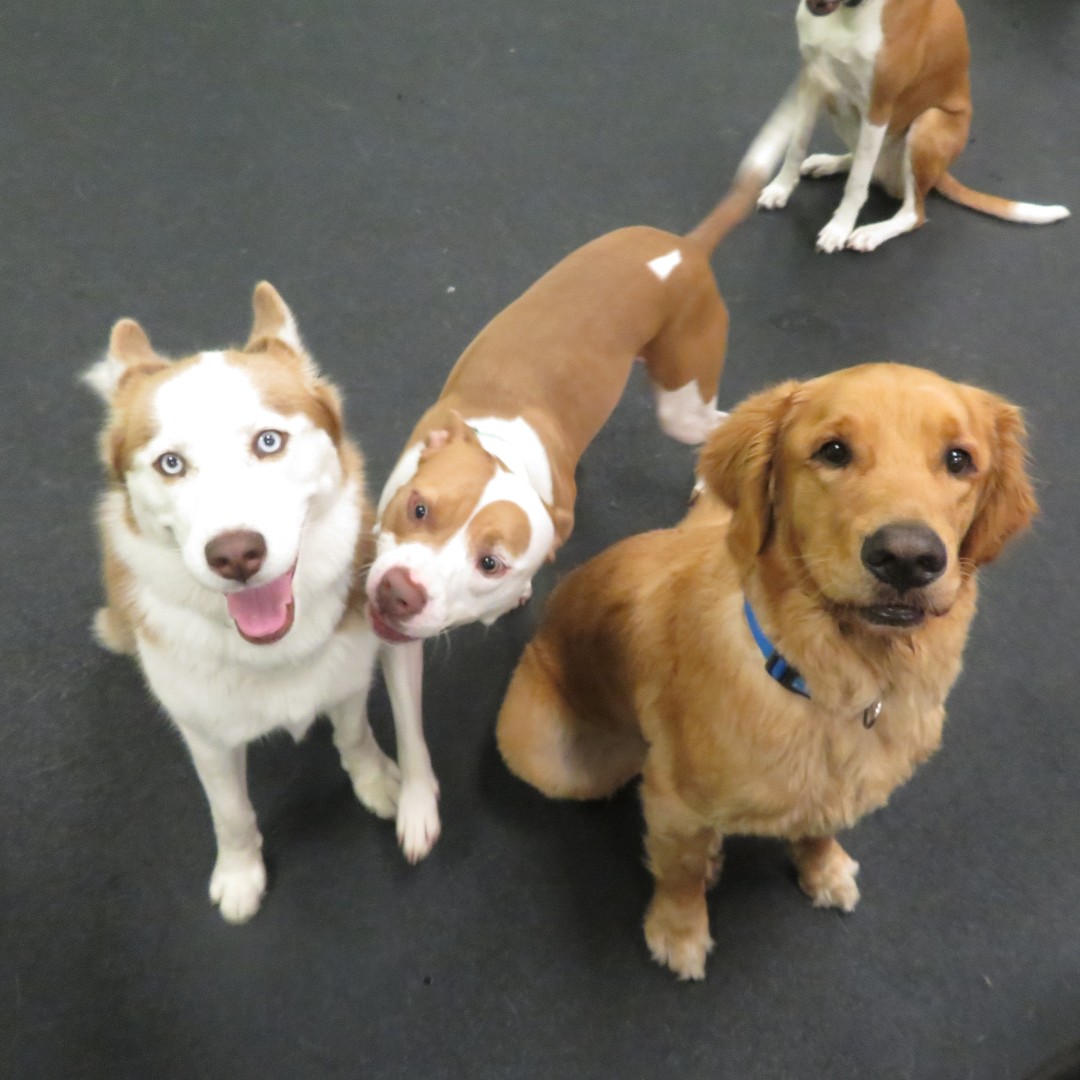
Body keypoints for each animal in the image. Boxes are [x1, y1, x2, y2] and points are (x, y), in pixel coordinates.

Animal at [85, 285, 425, 920]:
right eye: (171, 463)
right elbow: (231, 812)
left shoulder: (346, 677)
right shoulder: (206, 737)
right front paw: (240, 873)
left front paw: (375, 781)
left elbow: (354, 736)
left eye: (269, 442)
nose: (236, 554)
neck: (271, 651)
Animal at [496, 362, 1036, 980]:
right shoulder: (674, 800)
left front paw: (823, 869)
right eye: (833, 451)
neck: (835, 681)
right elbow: (678, 873)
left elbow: (821, 828)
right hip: (556, 761)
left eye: (958, 459)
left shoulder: (837, 787)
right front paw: (678, 932)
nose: (907, 558)